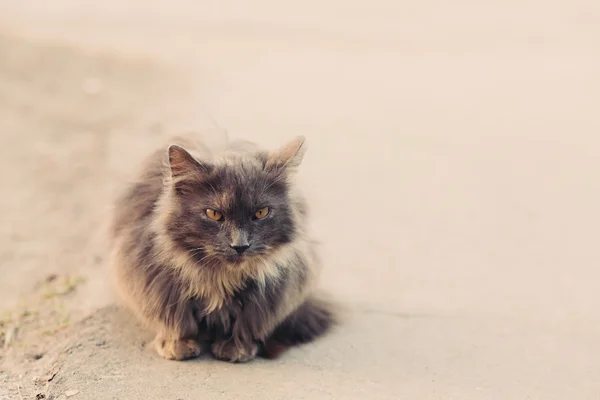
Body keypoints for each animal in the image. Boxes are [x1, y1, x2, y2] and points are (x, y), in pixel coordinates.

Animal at [108, 134, 332, 362]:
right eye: (213, 214)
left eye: (261, 213)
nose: (240, 245)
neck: (219, 277)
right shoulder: (153, 279)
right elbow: (176, 318)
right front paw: (178, 345)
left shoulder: (272, 292)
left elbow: (248, 321)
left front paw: (236, 347)